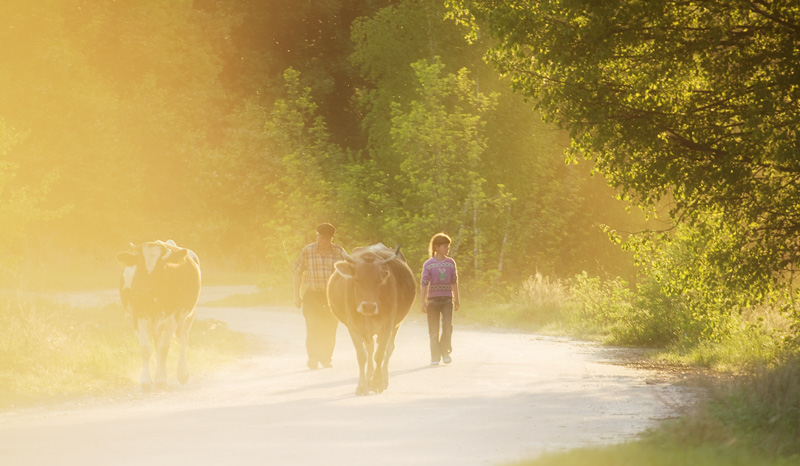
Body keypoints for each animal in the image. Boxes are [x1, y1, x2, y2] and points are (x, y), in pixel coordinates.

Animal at [116, 240, 202, 390]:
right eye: (140, 265)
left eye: (161, 267)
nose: (146, 290)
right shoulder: (137, 316)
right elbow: (146, 349)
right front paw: (145, 382)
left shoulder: (172, 319)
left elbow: (164, 349)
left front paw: (162, 381)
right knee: (157, 343)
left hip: (188, 315)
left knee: (182, 339)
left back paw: (182, 373)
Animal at [324, 244, 416, 394]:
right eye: (356, 279)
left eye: (379, 281)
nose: (368, 306)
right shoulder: (353, 327)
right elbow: (362, 356)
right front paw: (362, 385)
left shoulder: (388, 326)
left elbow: (380, 354)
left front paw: (377, 382)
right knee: (370, 349)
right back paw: (369, 377)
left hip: (396, 326)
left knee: (388, 349)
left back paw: (384, 379)